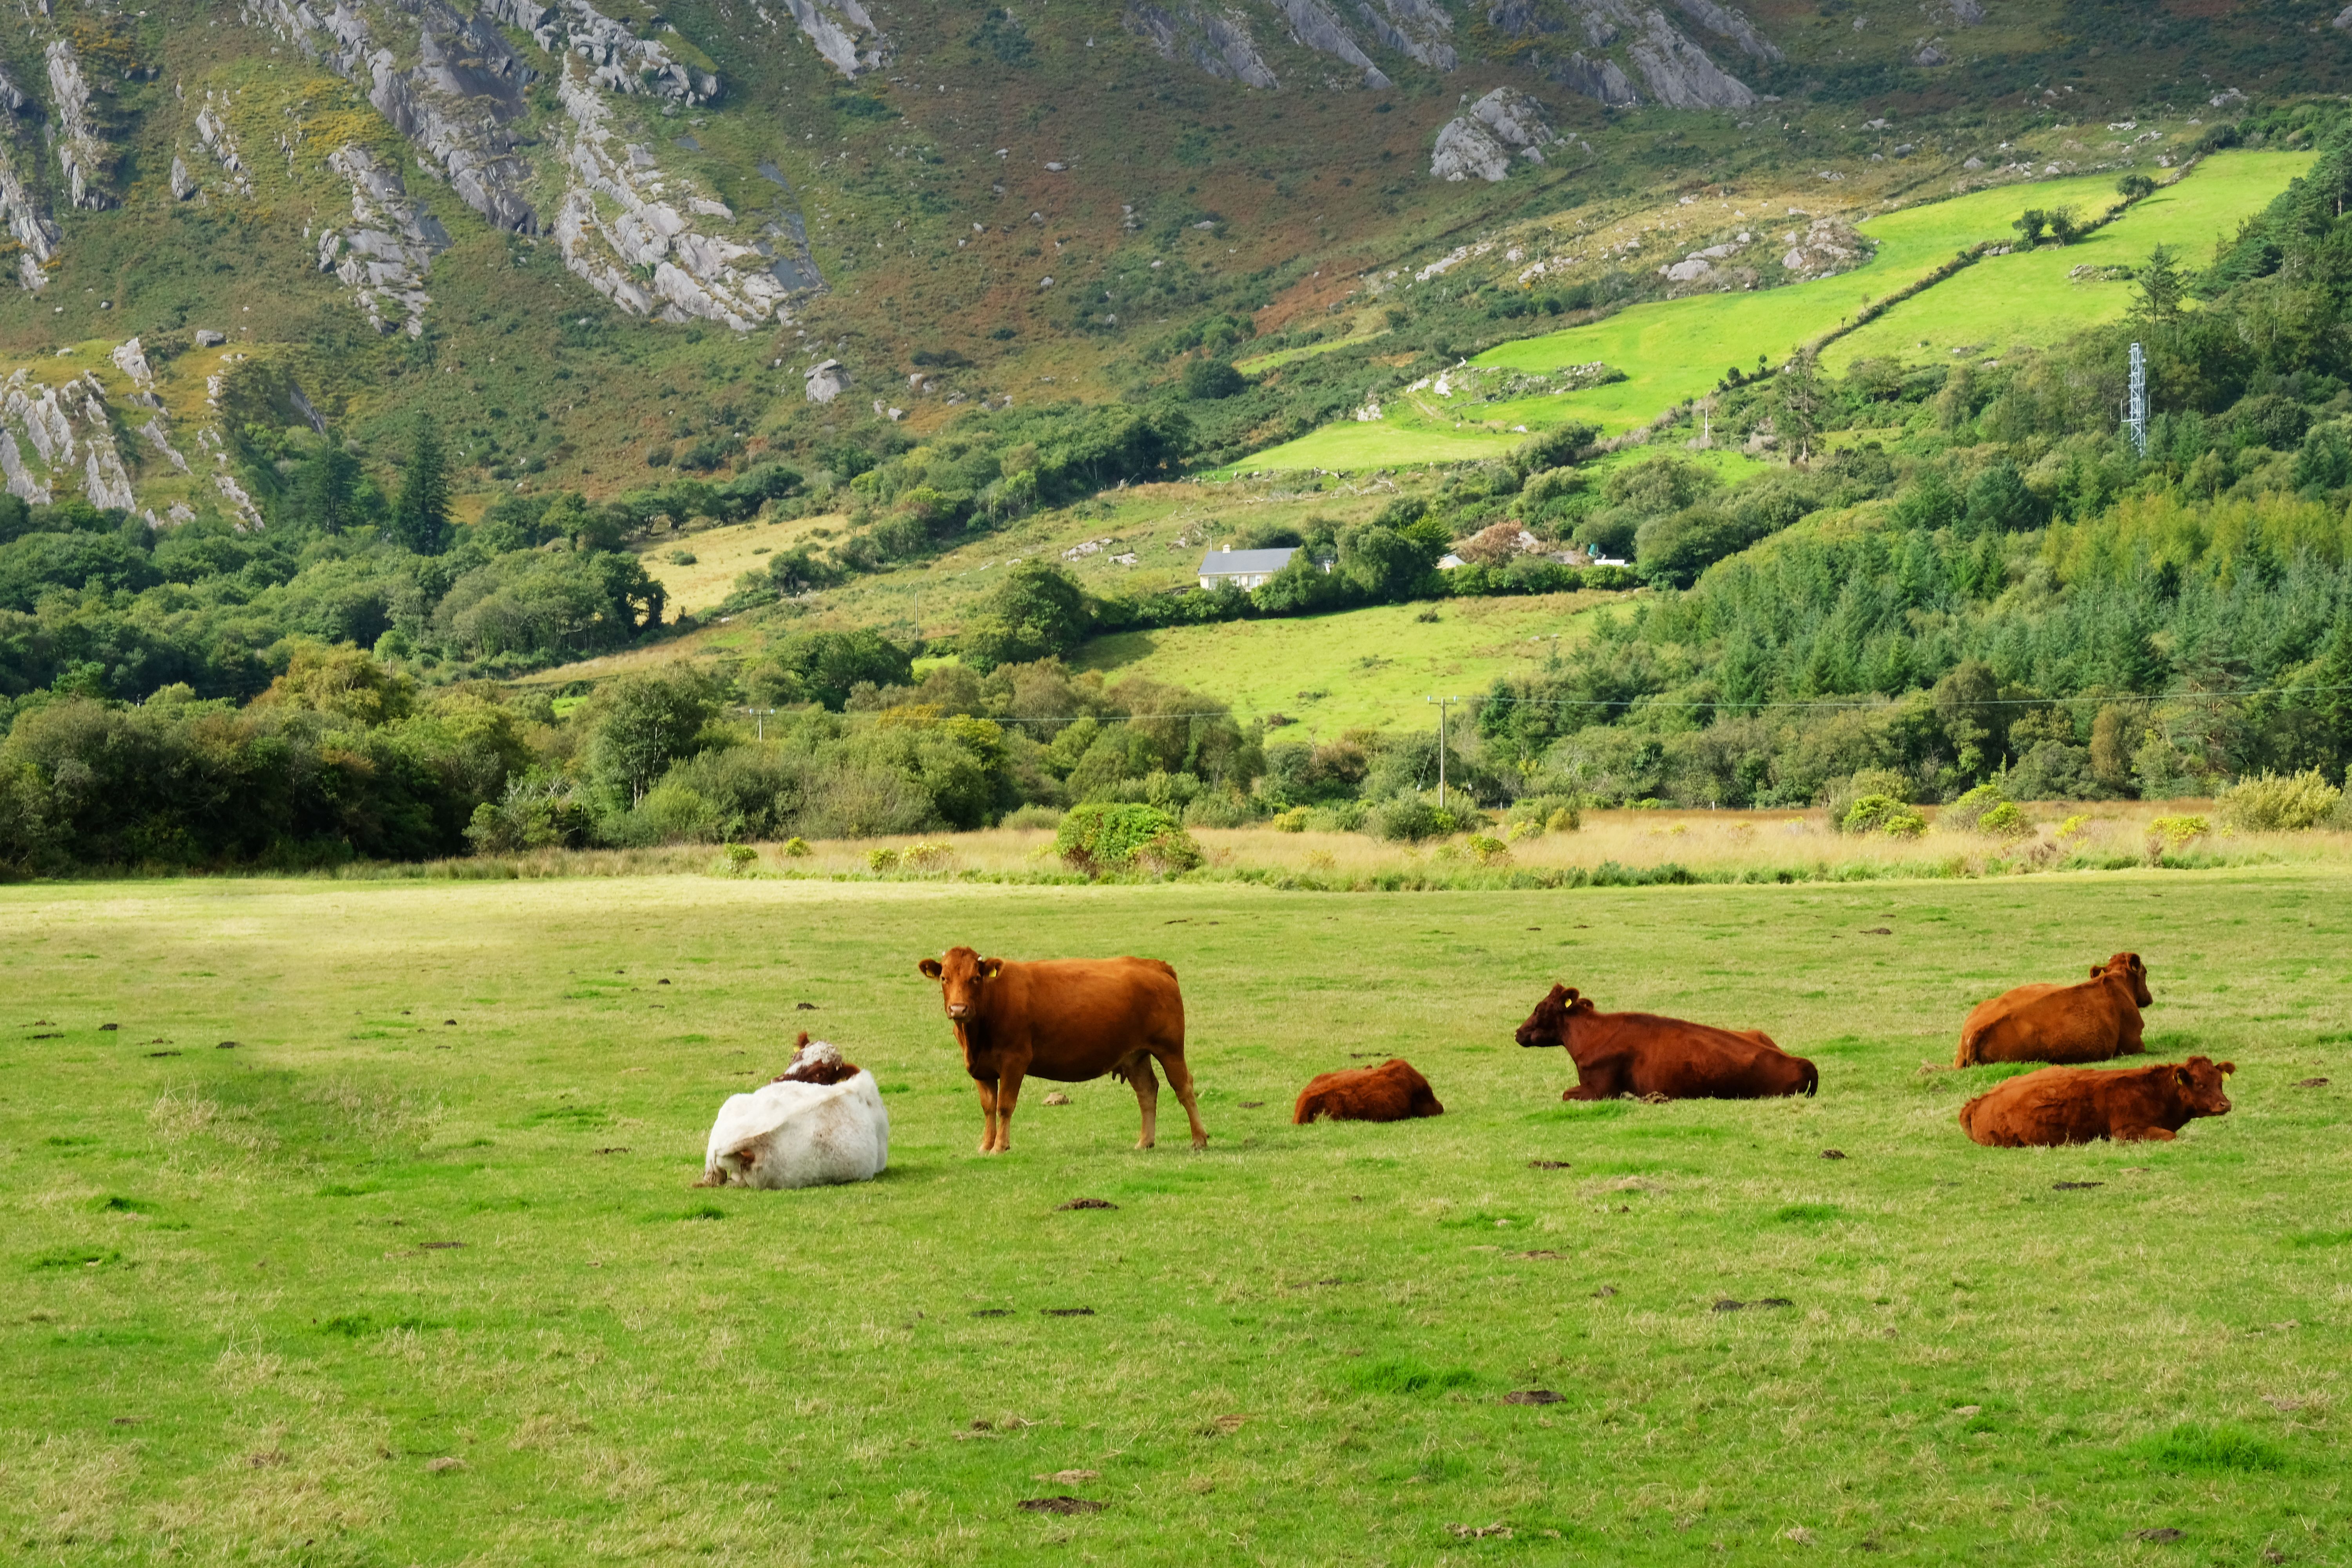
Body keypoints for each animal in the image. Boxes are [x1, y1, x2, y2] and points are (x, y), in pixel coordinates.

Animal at [917, 947, 1206, 1155]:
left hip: (1170, 1049)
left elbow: (1004, 1106)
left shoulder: (1015, 1061)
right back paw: (1145, 1141)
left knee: (1184, 1088)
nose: (958, 1009)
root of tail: (1154, 965)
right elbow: (989, 1107)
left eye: (976, 978)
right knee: (1147, 1091)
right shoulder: (982, 1070)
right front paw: (986, 1145)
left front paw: (1000, 1147)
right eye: (944, 978)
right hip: (1135, 1056)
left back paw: (1199, 1139)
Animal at [1515, 985, 1818, 1100]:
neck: (1590, 1035)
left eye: (1539, 1009)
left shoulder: (1601, 1089)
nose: (1518, 1033)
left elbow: (1566, 1094)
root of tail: (1803, 1063)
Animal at [1958, 1055, 2234, 1147]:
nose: (2226, 1104)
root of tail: (1977, 1102)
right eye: (2200, 1084)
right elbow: (2170, 1136)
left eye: (2220, 1082)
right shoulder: (2126, 1132)